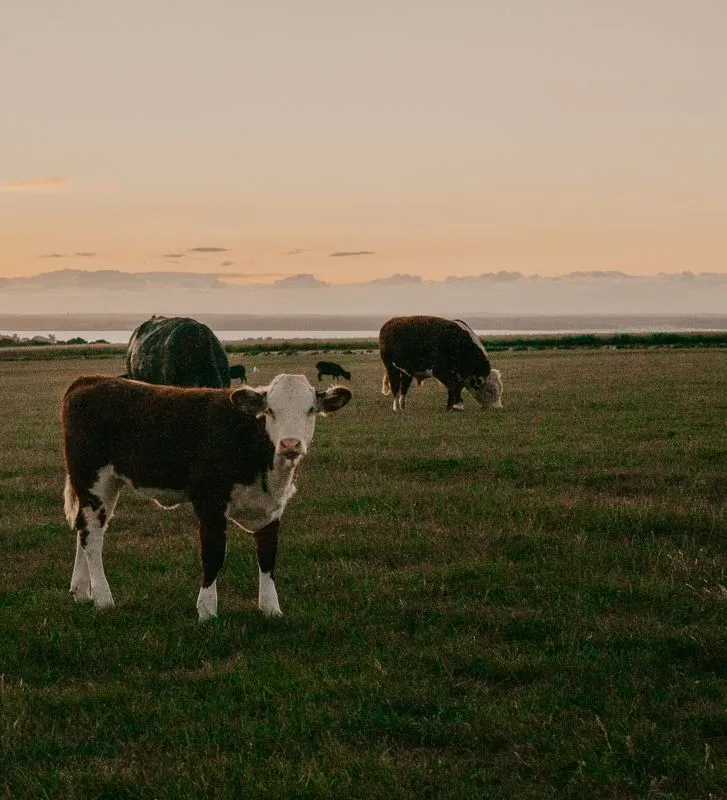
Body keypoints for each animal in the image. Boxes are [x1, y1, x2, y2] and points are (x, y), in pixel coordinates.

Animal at [61, 374, 351, 621]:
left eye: (310, 410)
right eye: (270, 411)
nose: (290, 444)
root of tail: (89, 380)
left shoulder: (272, 509)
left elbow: (268, 556)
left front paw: (271, 608)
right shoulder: (209, 502)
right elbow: (213, 554)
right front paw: (207, 610)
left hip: (105, 486)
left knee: (84, 531)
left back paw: (81, 591)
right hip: (94, 480)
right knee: (93, 538)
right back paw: (103, 599)